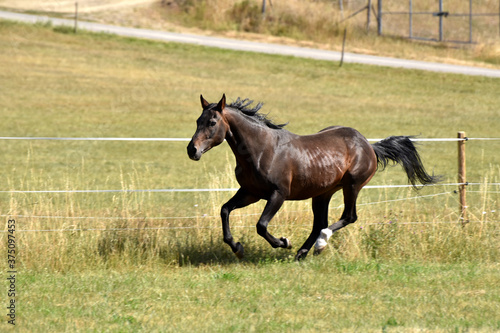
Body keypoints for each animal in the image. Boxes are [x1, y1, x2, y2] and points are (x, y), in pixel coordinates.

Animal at [188, 93, 438, 260]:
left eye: (212, 122)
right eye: (197, 121)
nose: (192, 150)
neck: (262, 149)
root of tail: (369, 145)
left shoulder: (278, 194)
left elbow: (261, 225)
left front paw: (284, 242)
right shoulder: (251, 192)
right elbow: (225, 210)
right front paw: (237, 248)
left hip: (352, 186)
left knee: (347, 217)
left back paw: (318, 245)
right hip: (322, 193)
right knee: (321, 222)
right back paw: (302, 253)